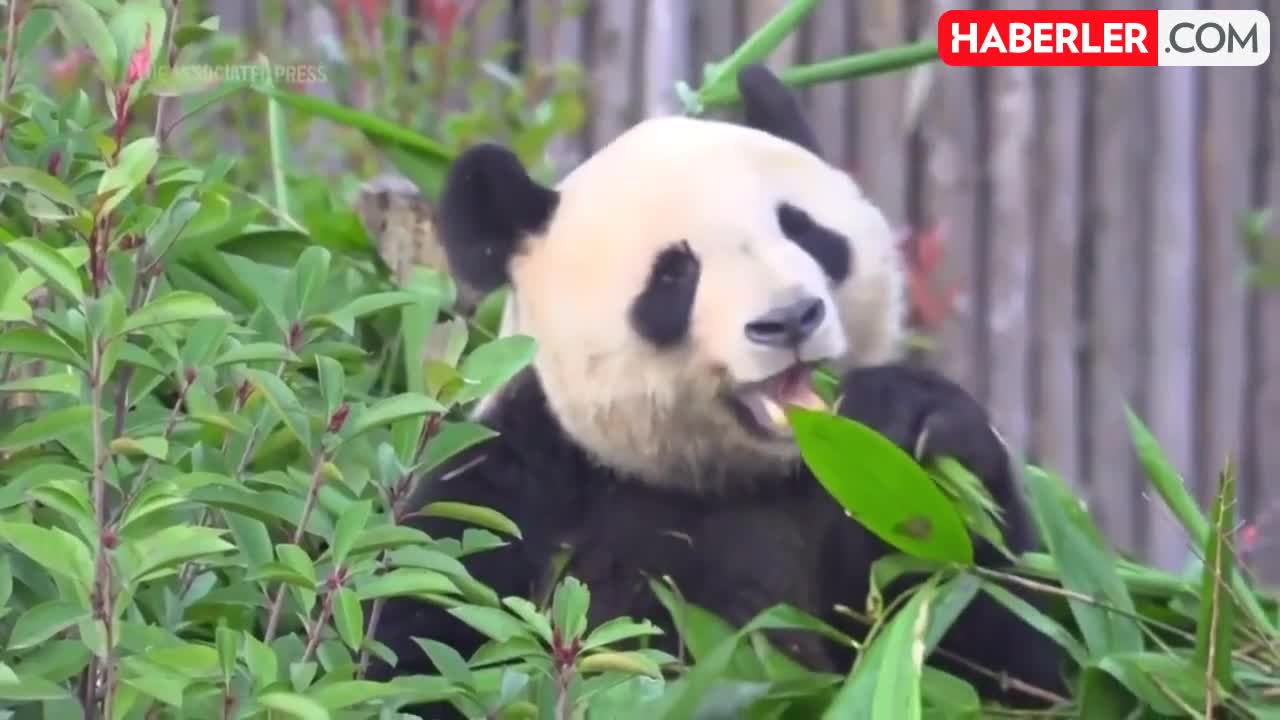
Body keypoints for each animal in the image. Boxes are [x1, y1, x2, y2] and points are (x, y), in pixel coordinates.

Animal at [368, 65, 1064, 714]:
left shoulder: (838, 506)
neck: (730, 481)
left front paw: (915, 423)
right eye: (675, 274)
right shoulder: (514, 490)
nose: (789, 319)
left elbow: (997, 650)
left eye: (803, 230)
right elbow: (424, 645)